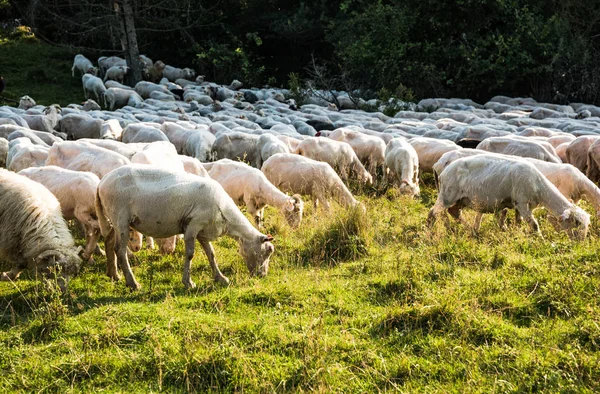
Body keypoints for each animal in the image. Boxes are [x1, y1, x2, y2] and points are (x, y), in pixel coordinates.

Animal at [95, 163, 276, 290]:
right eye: (268, 251)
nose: (262, 275)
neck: (226, 216)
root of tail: (101, 183)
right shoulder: (192, 225)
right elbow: (190, 254)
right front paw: (188, 282)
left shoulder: (203, 231)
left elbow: (211, 254)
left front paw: (221, 278)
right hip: (121, 218)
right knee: (120, 250)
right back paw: (133, 283)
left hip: (114, 219)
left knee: (109, 242)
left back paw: (114, 275)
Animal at [426, 155, 592, 240]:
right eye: (577, 223)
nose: (580, 244)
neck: (539, 186)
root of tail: (443, 171)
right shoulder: (522, 202)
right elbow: (534, 225)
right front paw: (542, 241)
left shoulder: (521, 205)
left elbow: (518, 222)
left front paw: (516, 233)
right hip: (447, 194)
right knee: (432, 213)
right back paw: (429, 233)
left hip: (461, 199)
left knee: (453, 212)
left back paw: (472, 231)